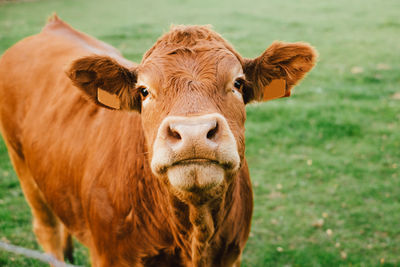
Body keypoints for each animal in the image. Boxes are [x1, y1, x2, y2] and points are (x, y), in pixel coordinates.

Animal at [0, 15, 316, 266]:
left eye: (238, 83)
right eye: (143, 91)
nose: (193, 133)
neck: (195, 232)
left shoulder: (231, 254)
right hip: (21, 164)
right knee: (47, 229)